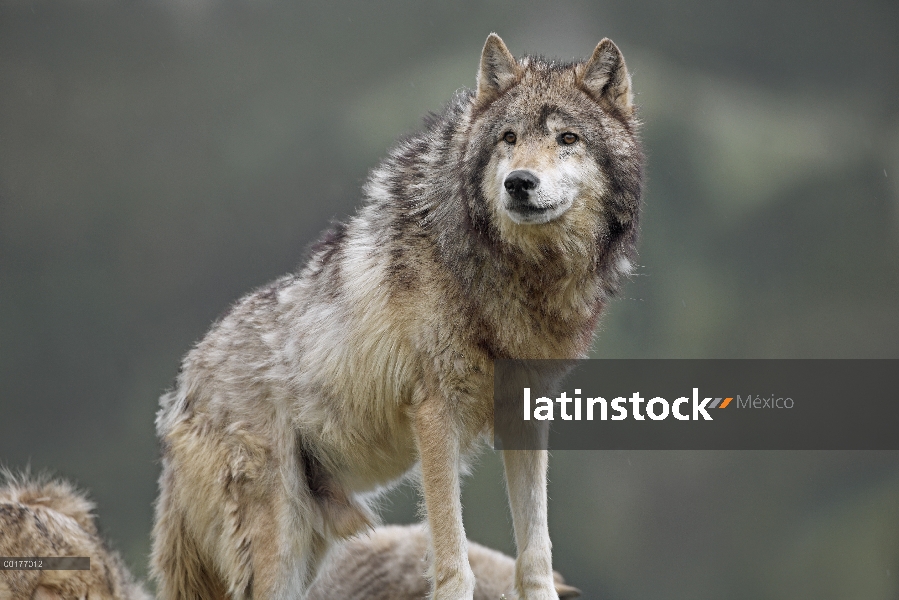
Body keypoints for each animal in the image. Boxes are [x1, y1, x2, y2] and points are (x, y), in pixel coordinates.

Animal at [151, 32, 644, 600]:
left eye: (567, 138)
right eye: (509, 137)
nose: (519, 182)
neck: (514, 274)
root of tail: (181, 391)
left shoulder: (525, 417)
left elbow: (535, 554)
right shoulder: (435, 414)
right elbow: (453, 560)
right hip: (277, 549)